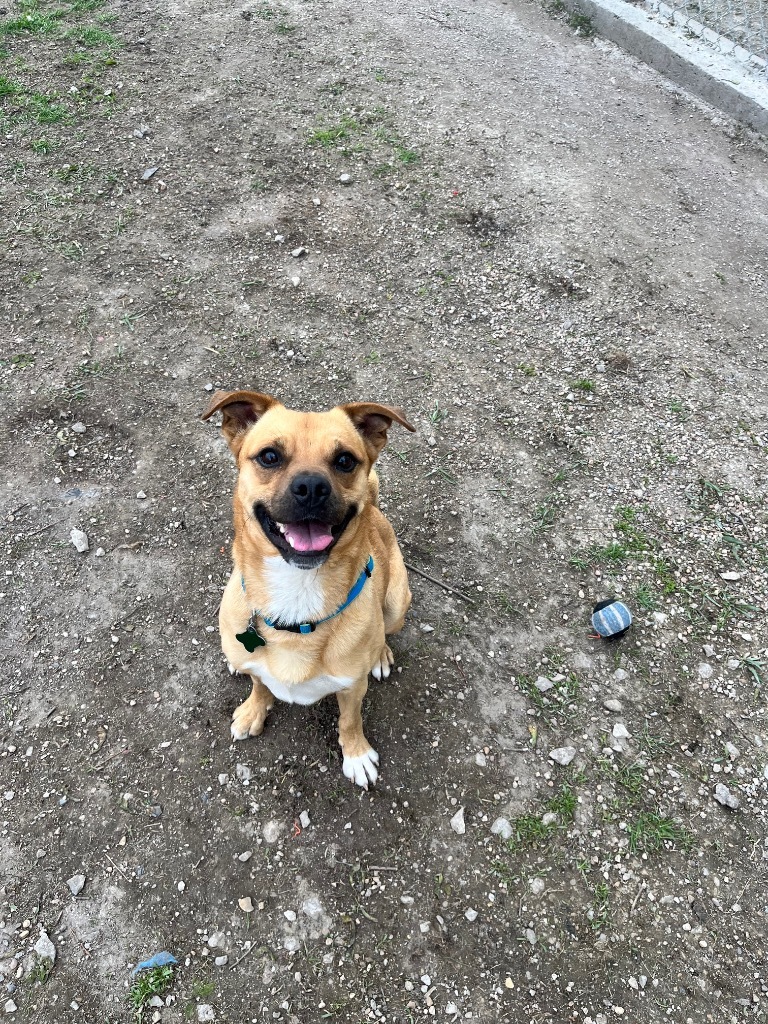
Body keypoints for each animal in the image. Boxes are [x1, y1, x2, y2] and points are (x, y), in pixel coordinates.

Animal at [202, 387, 415, 786]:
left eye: (345, 460)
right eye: (269, 456)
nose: (312, 488)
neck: (297, 595)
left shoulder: (352, 687)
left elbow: (350, 720)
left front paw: (356, 754)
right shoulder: (258, 666)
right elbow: (259, 683)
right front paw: (253, 711)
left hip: (396, 601)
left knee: (386, 629)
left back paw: (380, 654)